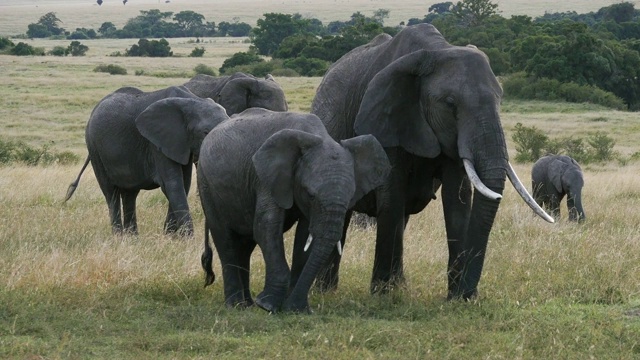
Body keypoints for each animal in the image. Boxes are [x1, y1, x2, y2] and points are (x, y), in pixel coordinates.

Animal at [199, 107, 390, 312]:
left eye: (350, 198)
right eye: (311, 194)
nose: (298, 307)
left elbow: (305, 236)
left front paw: (295, 309)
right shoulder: (266, 178)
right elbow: (266, 228)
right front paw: (267, 305)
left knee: (244, 245)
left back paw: (247, 304)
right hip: (206, 185)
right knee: (226, 241)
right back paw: (236, 306)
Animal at [300, 23, 556, 300]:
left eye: (500, 99)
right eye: (450, 103)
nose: (469, 293)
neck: (436, 50)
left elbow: (458, 199)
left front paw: (456, 298)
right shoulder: (386, 118)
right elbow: (392, 194)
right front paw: (383, 294)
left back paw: (396, 285)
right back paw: (327, 290)